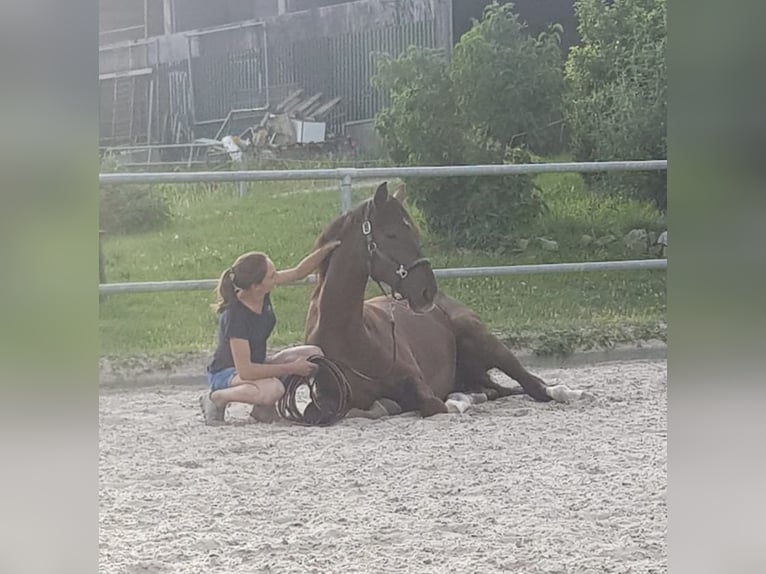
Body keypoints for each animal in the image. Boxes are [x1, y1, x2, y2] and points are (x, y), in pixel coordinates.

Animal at [300, 182, 588, 420]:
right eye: (391, 234)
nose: (427, 291)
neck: (349, 336)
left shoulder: (419, 384)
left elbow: (433, 405)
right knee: (497, 390)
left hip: (483, 340)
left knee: (534, 385)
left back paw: (569, 393)